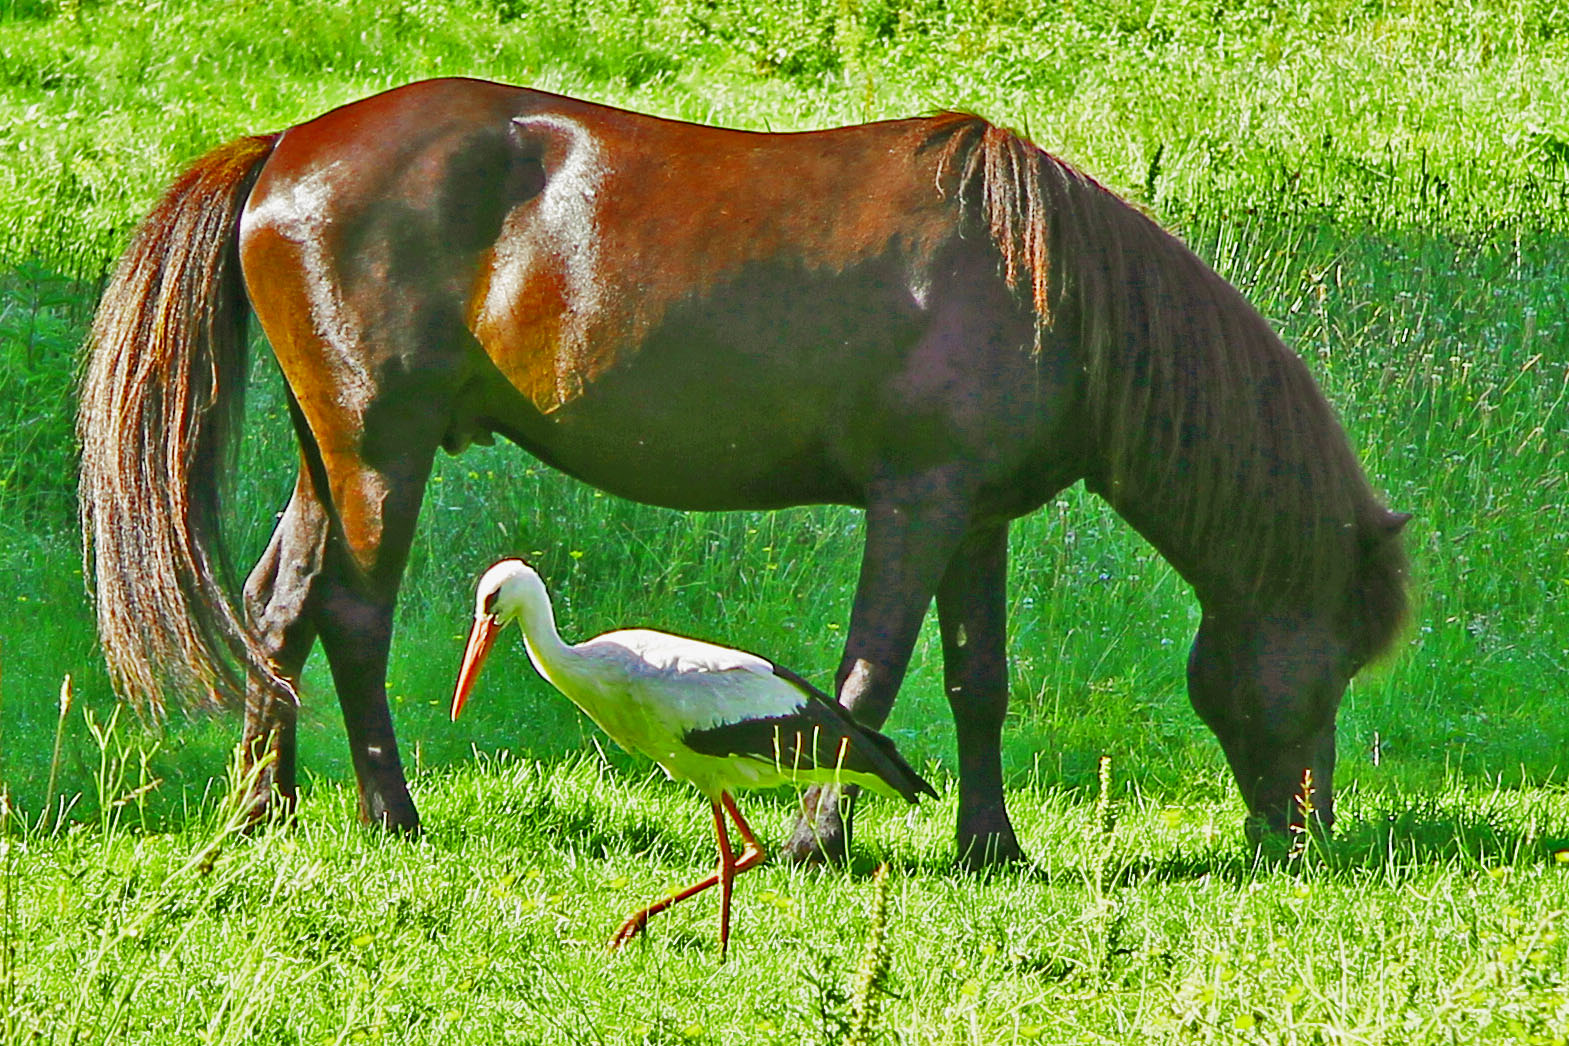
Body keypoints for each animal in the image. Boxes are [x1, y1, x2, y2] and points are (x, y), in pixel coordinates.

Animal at [76, 75, 1412, 865]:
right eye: (1334, 658)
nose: (1307, 837)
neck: (1043, 284)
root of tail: (281, 149)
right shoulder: (916, 505)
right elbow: (869, 675)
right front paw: (825, 833)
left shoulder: (978, 517)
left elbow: (978, 680)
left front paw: (993, 846)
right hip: (380, 452)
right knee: (352, 618)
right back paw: (390, 815)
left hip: (332, 456)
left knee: (278, 611)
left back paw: (267, 810)